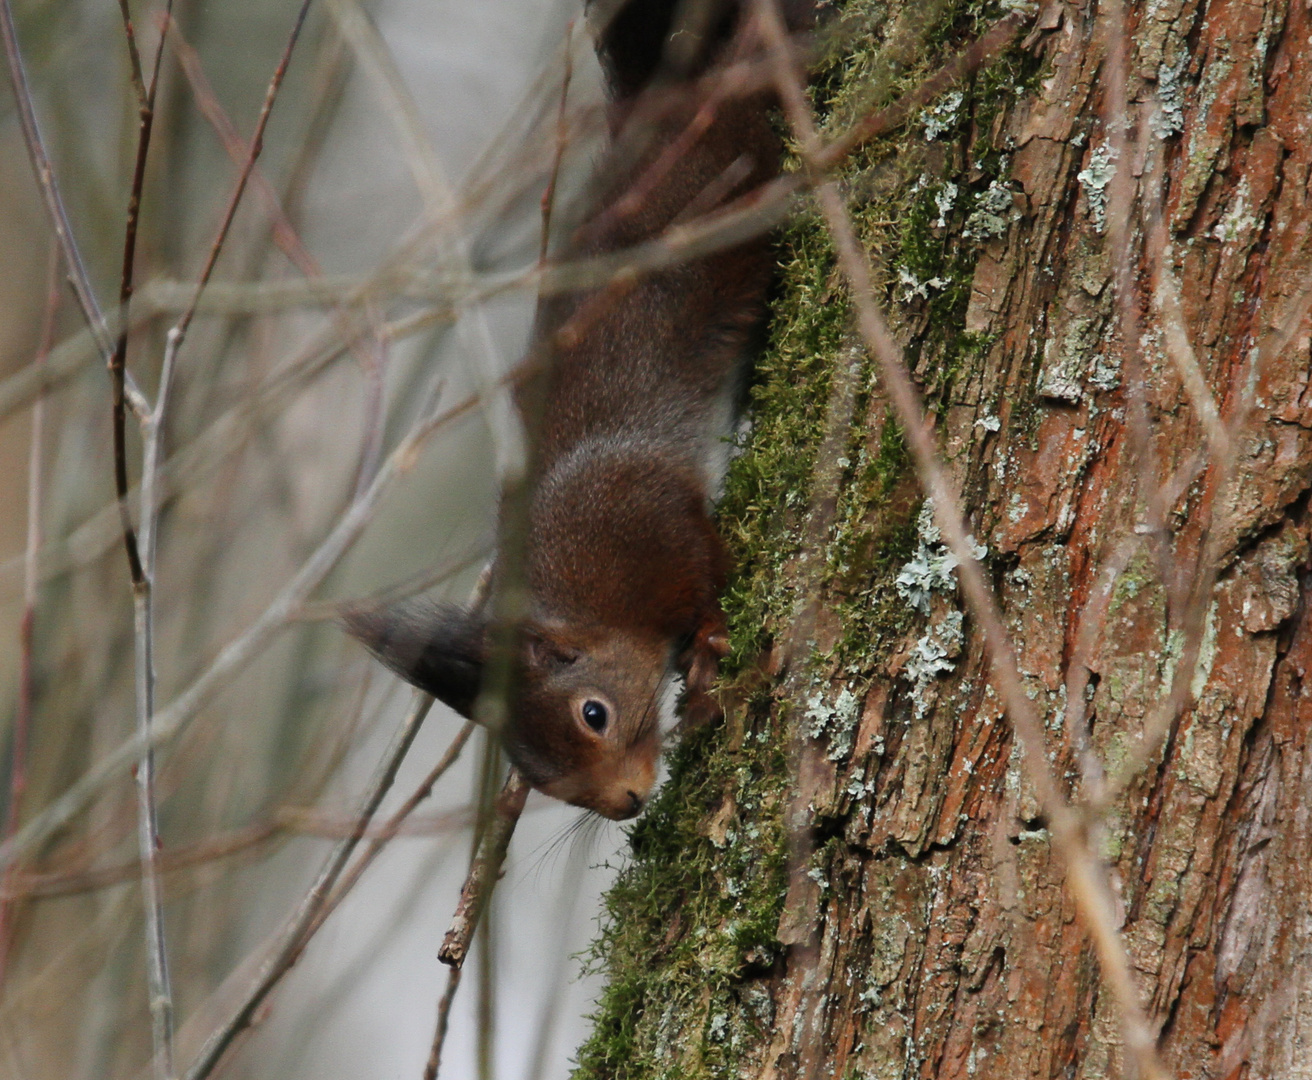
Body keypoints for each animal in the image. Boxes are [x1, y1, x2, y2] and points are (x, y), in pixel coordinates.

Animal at [346, 0, 808, 818]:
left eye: (594, 714)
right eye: (539, 780)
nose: (624, 802)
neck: (584, 604)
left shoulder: (635, 510)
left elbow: (705, 561)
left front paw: (709, 638)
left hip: (735, 179)